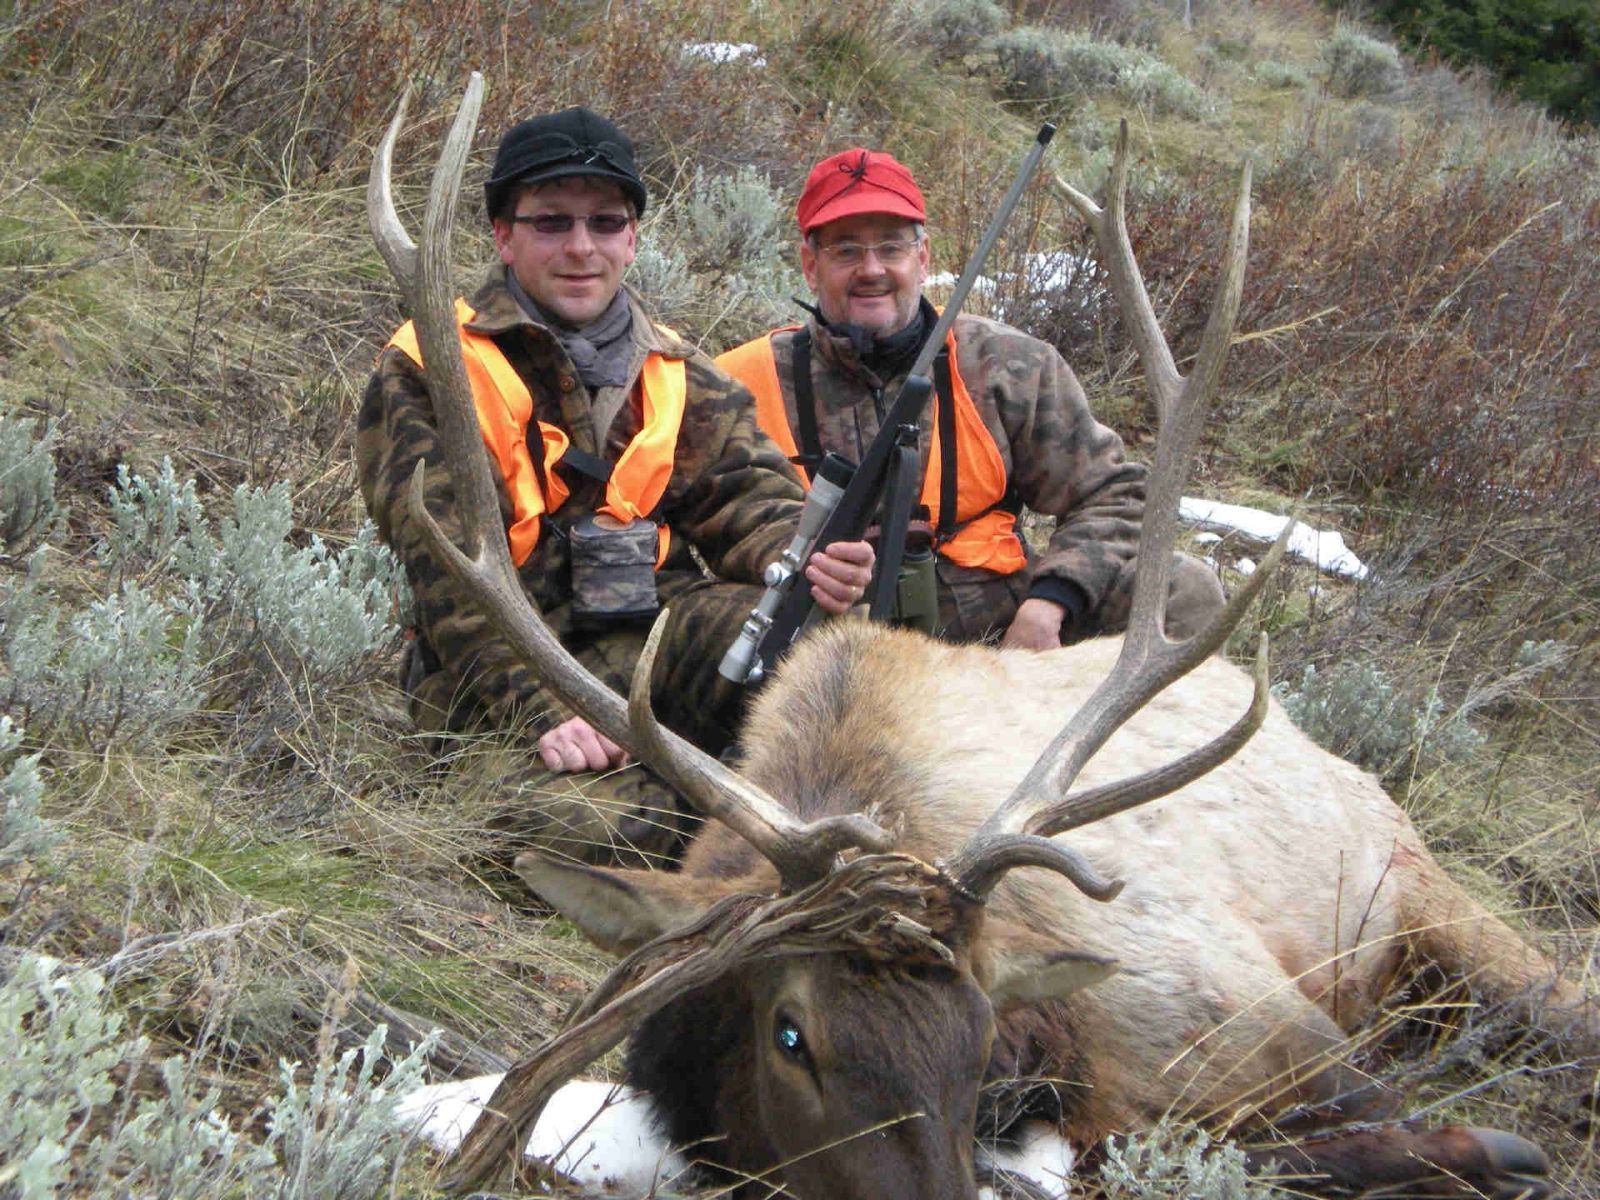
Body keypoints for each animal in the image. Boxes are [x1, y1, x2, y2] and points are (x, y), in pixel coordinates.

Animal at [369, 75, 1598, 1199]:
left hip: (1423, 889)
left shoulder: (1246, 1011)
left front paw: (1497, 1154)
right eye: (791, 1032)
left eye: (972, 1030)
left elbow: (1408, 1136)